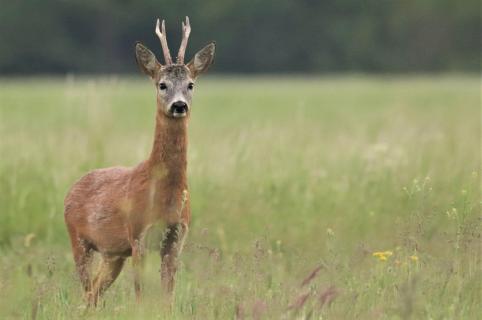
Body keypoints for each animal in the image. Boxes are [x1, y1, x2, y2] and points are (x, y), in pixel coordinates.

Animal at [64, 16, 215, 304]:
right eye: (162, 84)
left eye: (191, 84)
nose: (179, 105)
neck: (164, 194)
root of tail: (72, 188)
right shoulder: (138, 235)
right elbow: (140, 294)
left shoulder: (176, 236)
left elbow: (168, 296)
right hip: (78, 240)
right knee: (86, 292)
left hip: (112, 254)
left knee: (93, 295)